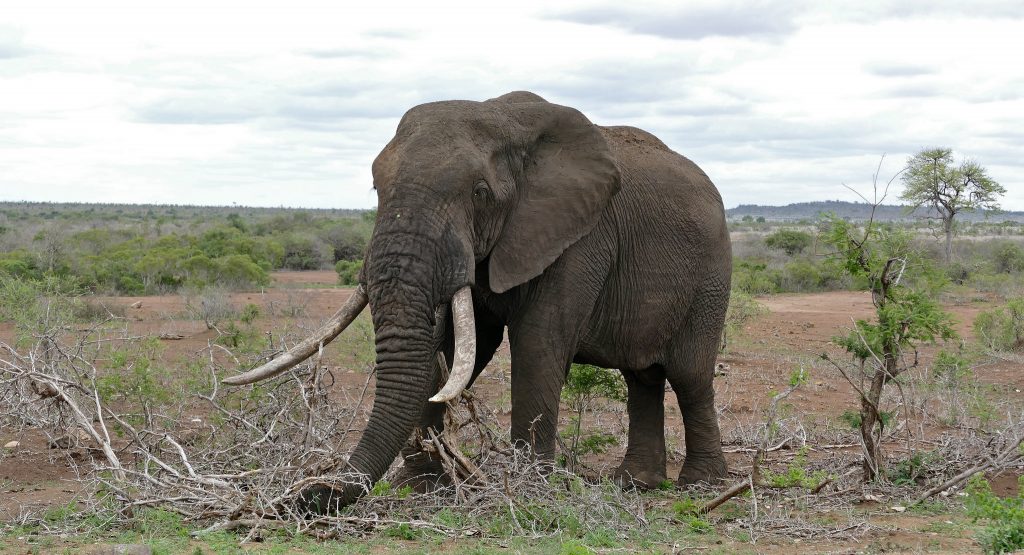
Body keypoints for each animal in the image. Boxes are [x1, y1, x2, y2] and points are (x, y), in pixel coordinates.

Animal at [223, 91, 732, 512]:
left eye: (480, 193)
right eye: (376, 189)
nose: (306, 493)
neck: (506, 119)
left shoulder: (580, 235)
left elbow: (537, 343)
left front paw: (529, 488)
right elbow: (456, 346)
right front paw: (423, 486)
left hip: (711, 277)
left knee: (688, 375)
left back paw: (699, 487)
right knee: (642, 378)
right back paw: (635, 484)